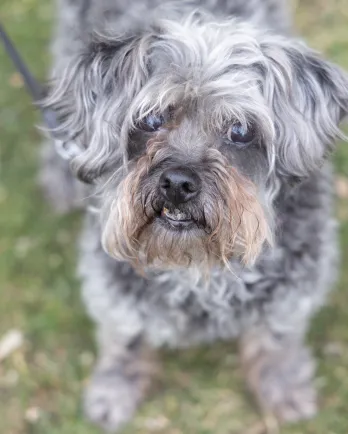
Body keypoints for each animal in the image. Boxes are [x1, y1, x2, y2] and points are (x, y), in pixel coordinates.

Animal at [39, 0, 348, 430]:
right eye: (151, 120)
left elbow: (276, 337)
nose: (177, 183)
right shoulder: (115, 289)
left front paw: (283, 386)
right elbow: (125, 337)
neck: (203, 268)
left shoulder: (293, 290)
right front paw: (114, 388)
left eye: (240, 130)